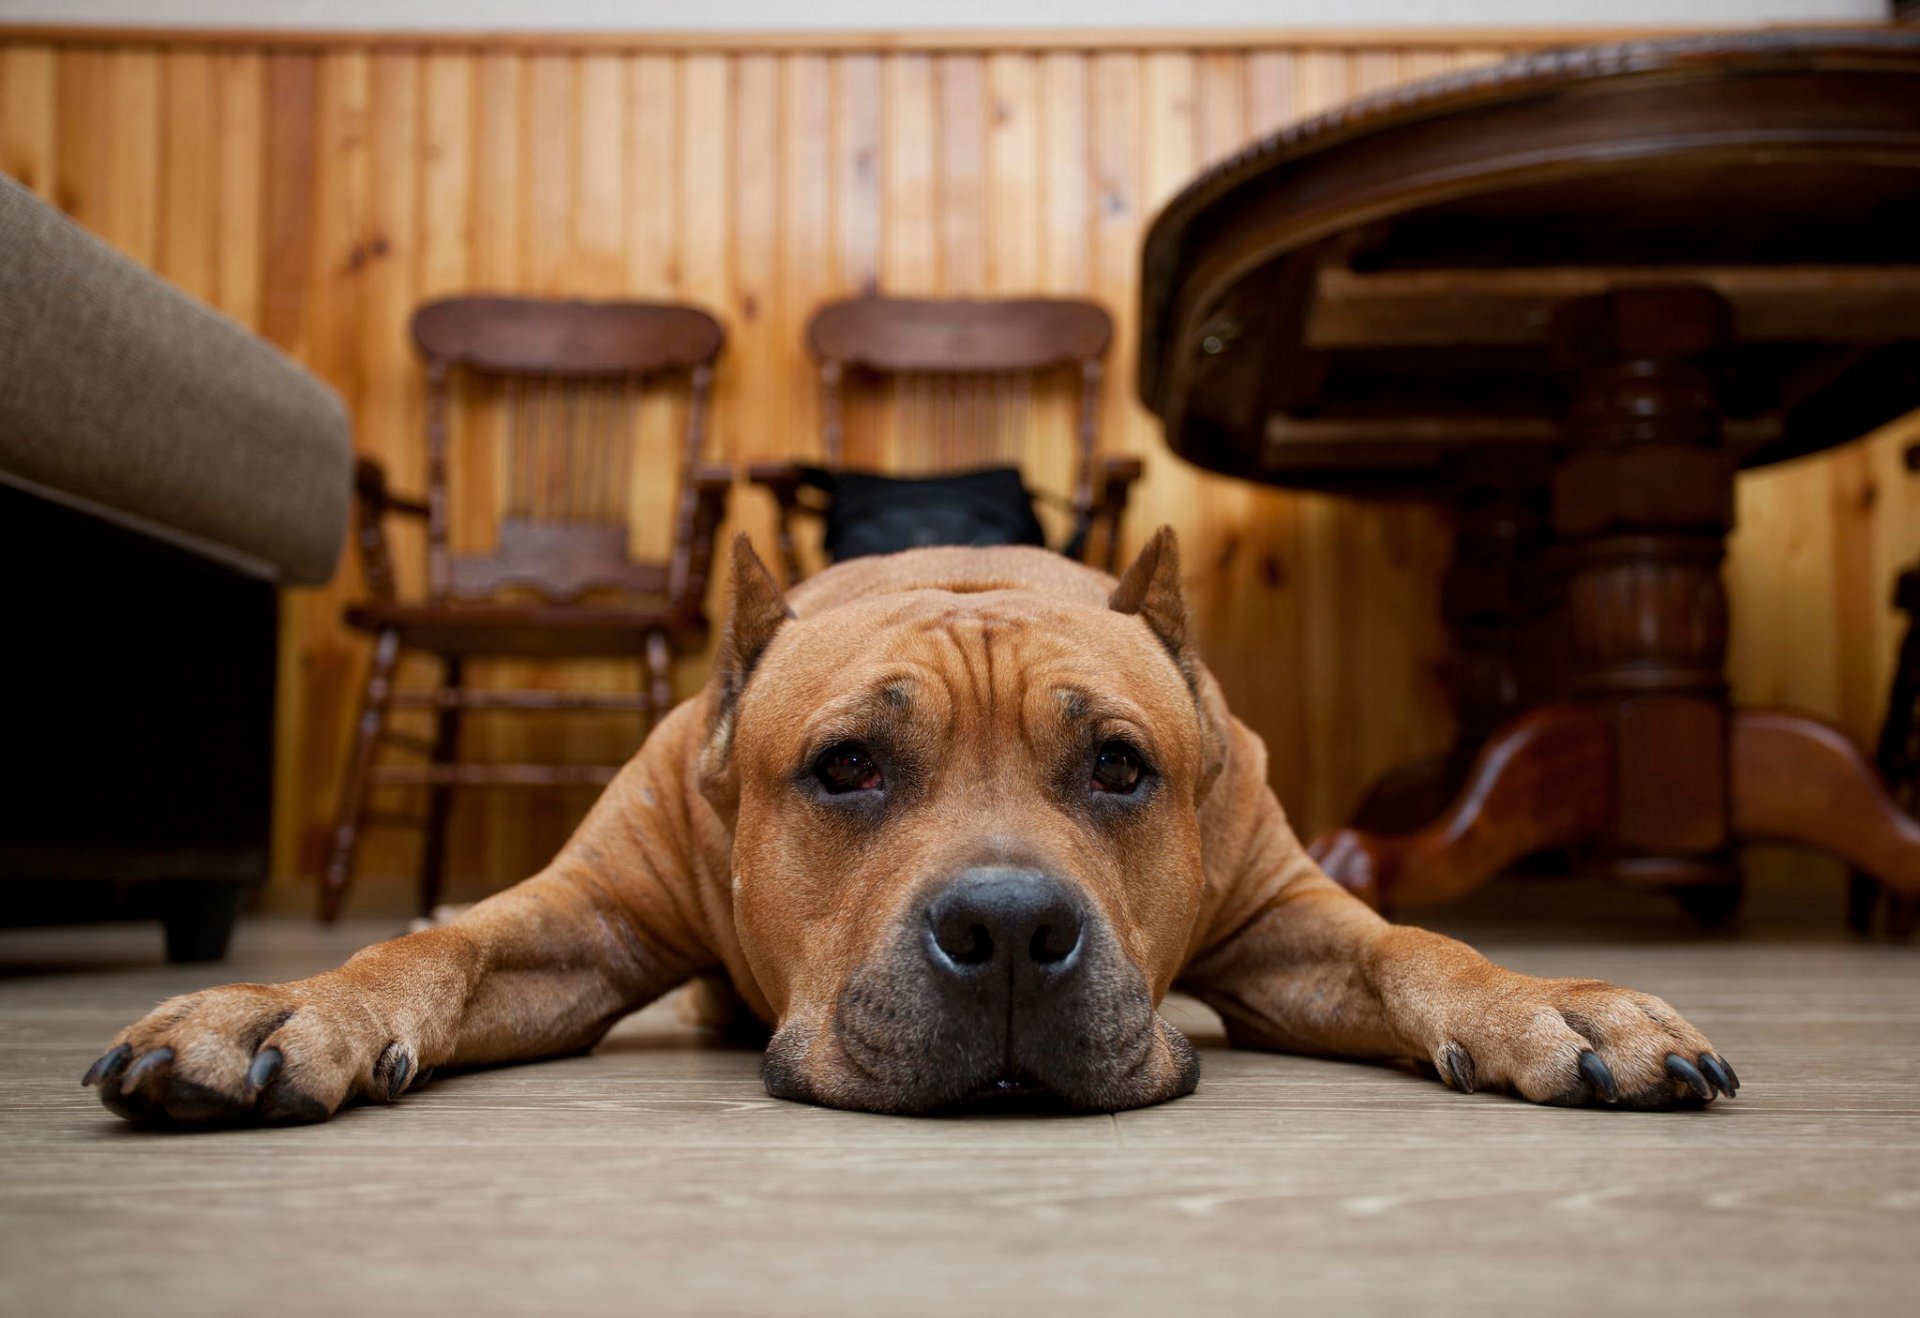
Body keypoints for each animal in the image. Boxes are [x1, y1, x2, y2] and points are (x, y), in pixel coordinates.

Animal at [82, 530, 1743, 1129]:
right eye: (846, 768)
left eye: (1122, 767)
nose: (1007, 929)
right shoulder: (577, 924)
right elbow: (432, 948)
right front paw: (285, 1005)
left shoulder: (1294, 922)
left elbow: (1419, 947)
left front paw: (1557, 1005)